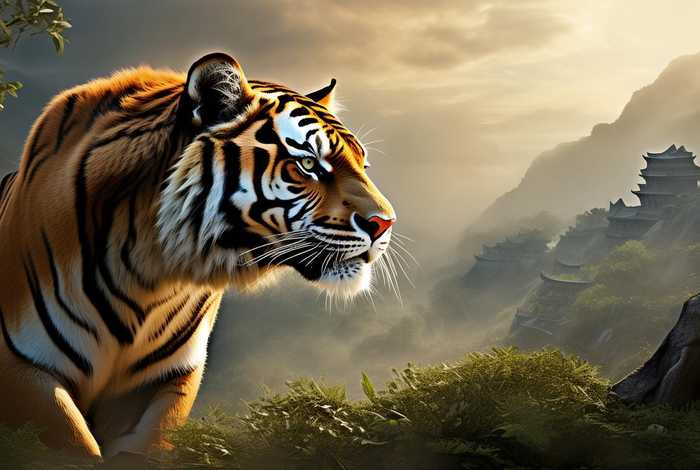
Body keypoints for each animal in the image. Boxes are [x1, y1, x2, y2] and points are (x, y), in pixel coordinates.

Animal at [0, 52, 395, 459]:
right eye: (309, 164)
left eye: (362, 165)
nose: (385, 223)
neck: (152, 272)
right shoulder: (24, 368)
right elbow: (74, 447)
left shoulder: (164, 380)